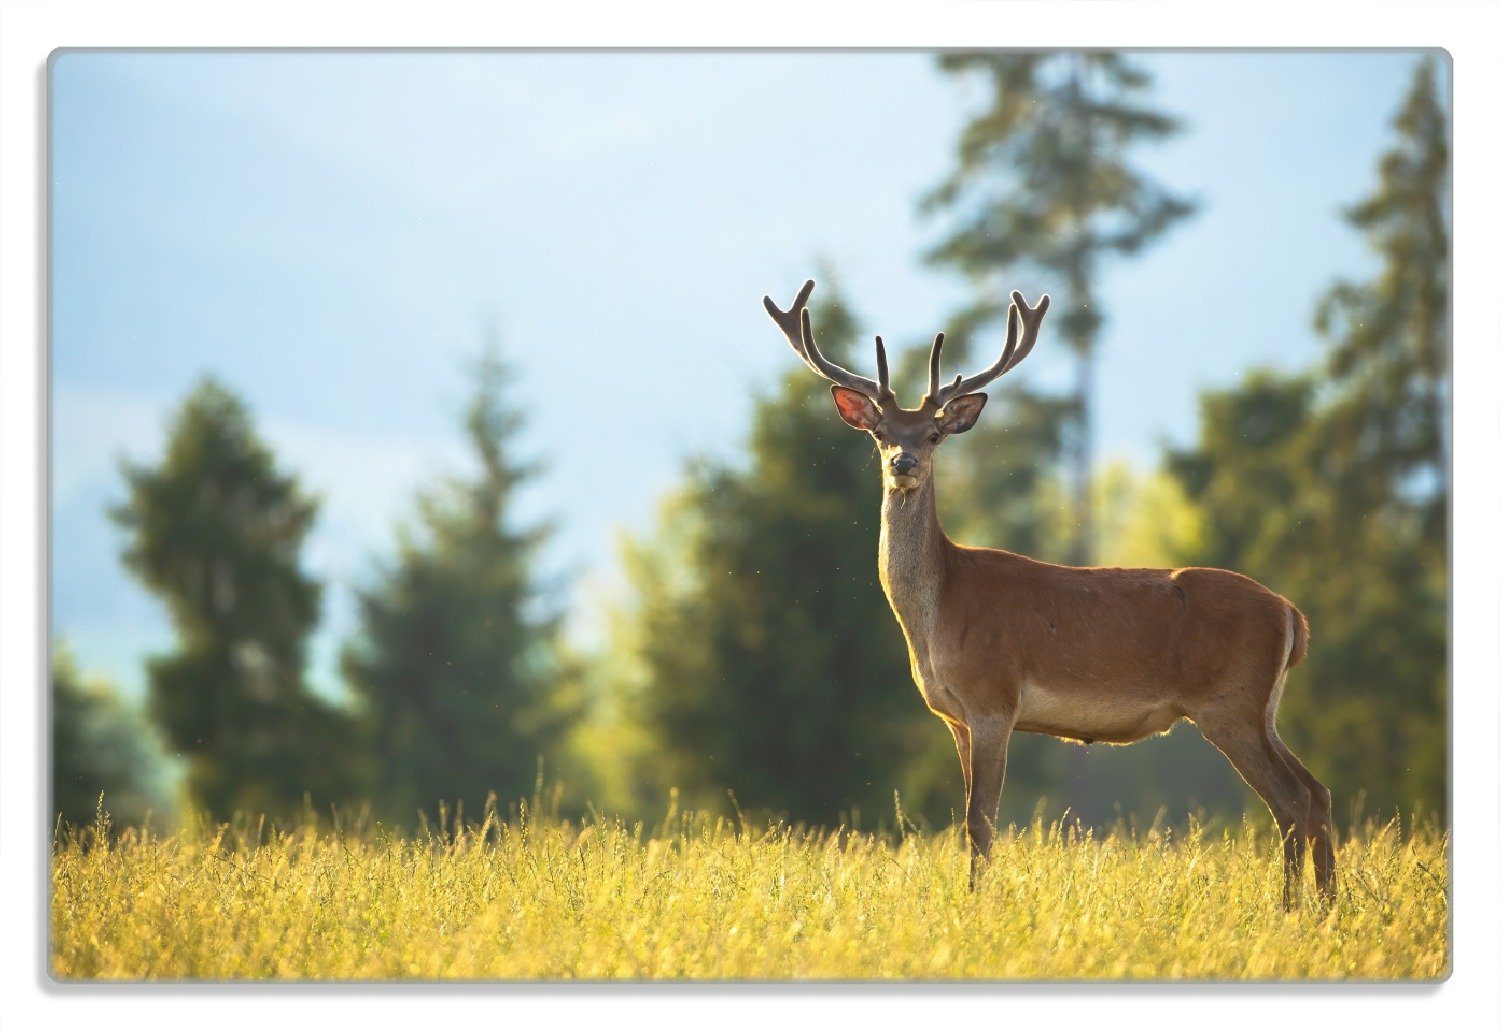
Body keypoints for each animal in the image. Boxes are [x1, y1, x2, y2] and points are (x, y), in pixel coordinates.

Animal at [762, 277, 1338, 906]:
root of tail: (1292, 615)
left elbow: (980, 818)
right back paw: (1329, 904)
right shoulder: (954, 717)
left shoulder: (993, 698)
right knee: (1317, 791)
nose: (904, 462)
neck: (936, 617)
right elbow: (969, 816)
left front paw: (978, 902)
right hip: (1263, 706)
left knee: (1290, 799)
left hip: (1230, 703)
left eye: (934, 433)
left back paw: (1290, 906)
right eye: (879, 433)